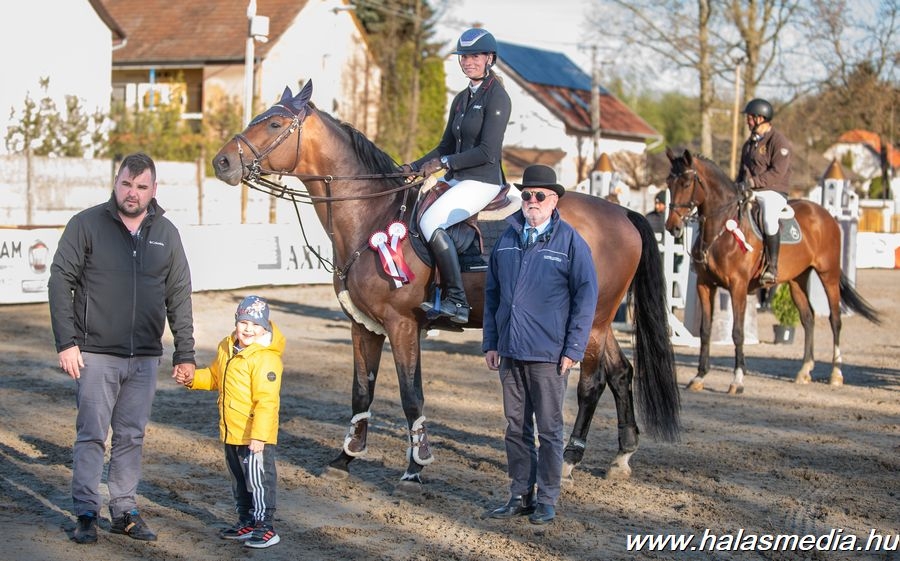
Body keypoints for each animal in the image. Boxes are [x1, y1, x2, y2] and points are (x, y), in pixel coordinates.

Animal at [211, 81, 680, 488]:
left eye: (274, 123)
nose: (222, 163)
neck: (372, 215)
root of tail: (622, 214)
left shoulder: (402, 325)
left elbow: (410, 395)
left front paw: (415, 466)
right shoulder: (363, 326)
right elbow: (362, 392)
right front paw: (344, 459)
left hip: (593, 321)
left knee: (593, 382)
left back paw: (568, 460)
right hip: (598, 320)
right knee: (621, 373)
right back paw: (621, 457)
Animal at [660, 149, 880, 394]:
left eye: (686, 182)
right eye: (669, 182)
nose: (672, 227)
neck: (720, 229)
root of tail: (824, 213)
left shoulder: (737, 286)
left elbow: (737, 332)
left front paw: (737, 380)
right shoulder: (705, 285)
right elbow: (705, 331)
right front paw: (699, 376)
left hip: (828, 274)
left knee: (835, 319)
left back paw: (836, 374)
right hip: (797, 280)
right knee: (808, 318)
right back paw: (804, 370)